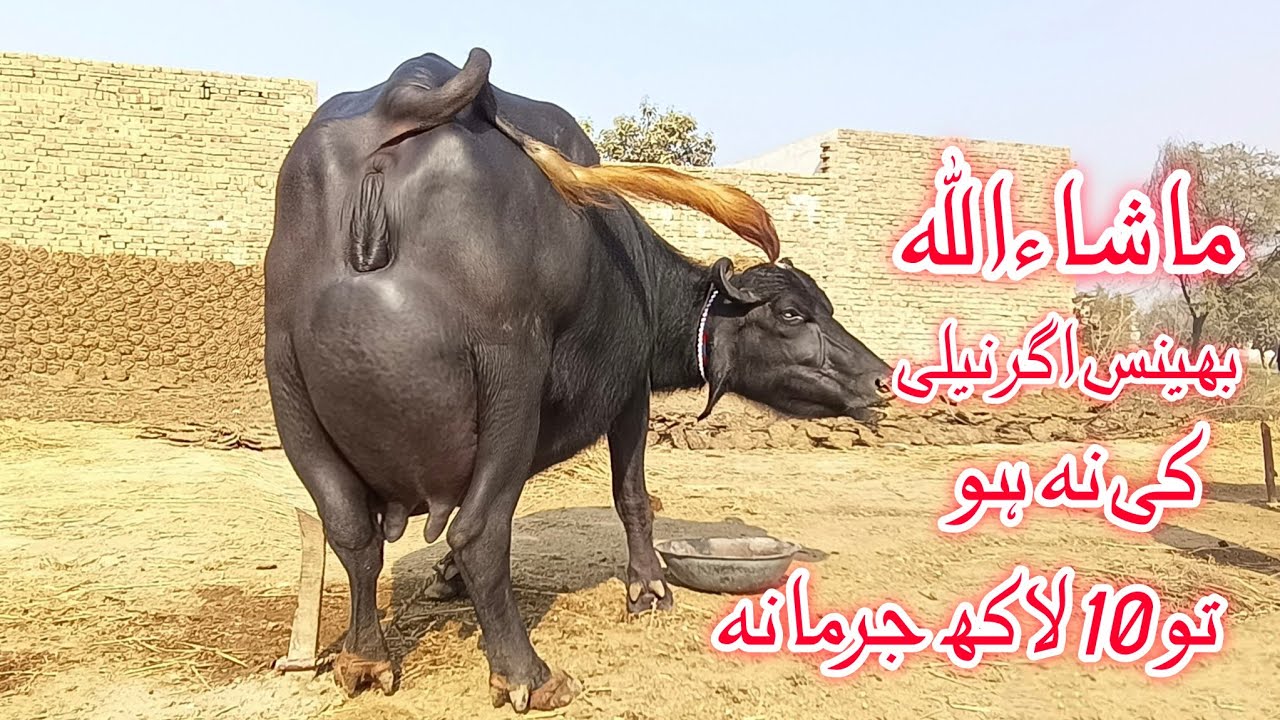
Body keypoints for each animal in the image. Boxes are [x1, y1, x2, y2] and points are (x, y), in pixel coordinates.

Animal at [265, 47, 892, 712]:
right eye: (793, 314)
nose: (882, 379)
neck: (638, 276)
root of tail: (397, 101)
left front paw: (445, 581)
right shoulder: (630, 396)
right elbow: (632, 495)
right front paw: (648, 589)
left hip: (290, 392)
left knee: (352, 532)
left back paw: (364, 659)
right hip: (508, 380)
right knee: (478, 531)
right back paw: (527, 675)